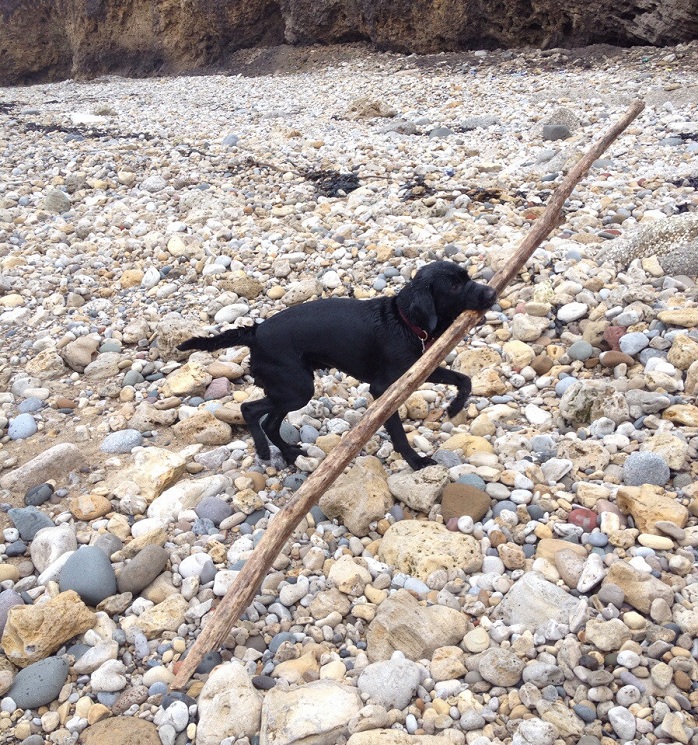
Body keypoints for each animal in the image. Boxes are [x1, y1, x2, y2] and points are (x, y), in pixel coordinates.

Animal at [178, 262, 494, 468]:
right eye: (454, 285)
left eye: (468, 276)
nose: (491, 293)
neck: (404, 321)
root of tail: (255, 332)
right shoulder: (384, 389)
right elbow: (399, 435)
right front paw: (416, 462)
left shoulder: (419, 372)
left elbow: (464, 379)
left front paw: (455, 407)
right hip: (297, 388)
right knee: (249, 410)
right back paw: (264, 451)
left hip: (291, 389)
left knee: (270, 423)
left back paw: (290, 454)